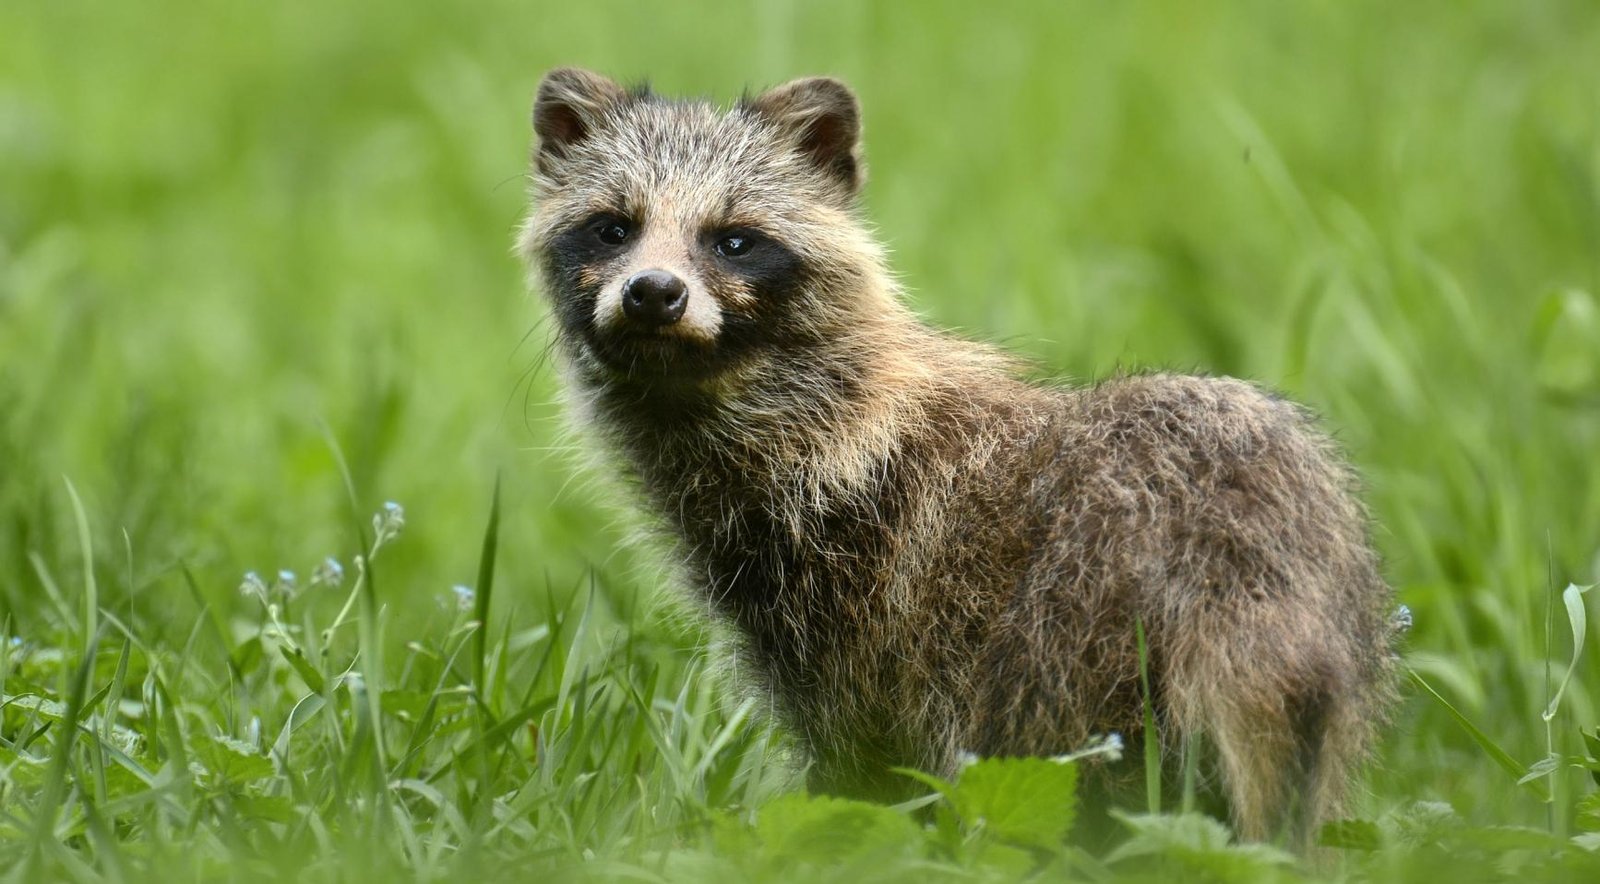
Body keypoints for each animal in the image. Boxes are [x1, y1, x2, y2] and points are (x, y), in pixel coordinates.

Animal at [517, 67, 1396, 845]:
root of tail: (1239, 559)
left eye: (734, 240)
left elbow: (864, 767)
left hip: (1072, 632)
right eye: (613, 226)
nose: (654, 293)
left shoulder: (858, 597)